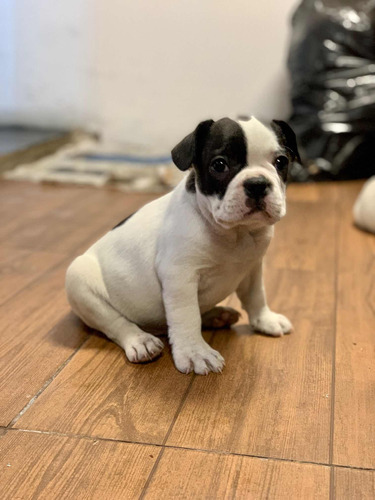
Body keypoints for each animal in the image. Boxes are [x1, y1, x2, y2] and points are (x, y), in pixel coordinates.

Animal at [66, 116, 302, 376]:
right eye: (219, 165)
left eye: (281, 161)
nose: (258, 183)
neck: (236, 233)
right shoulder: (180, 276)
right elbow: (187, 316)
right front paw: (195, 353)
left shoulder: (252, 268)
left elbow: (256, 295)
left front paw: (265, 320)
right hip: (79, 281)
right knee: (115, 322)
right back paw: (140, 340)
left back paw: (216, 315)